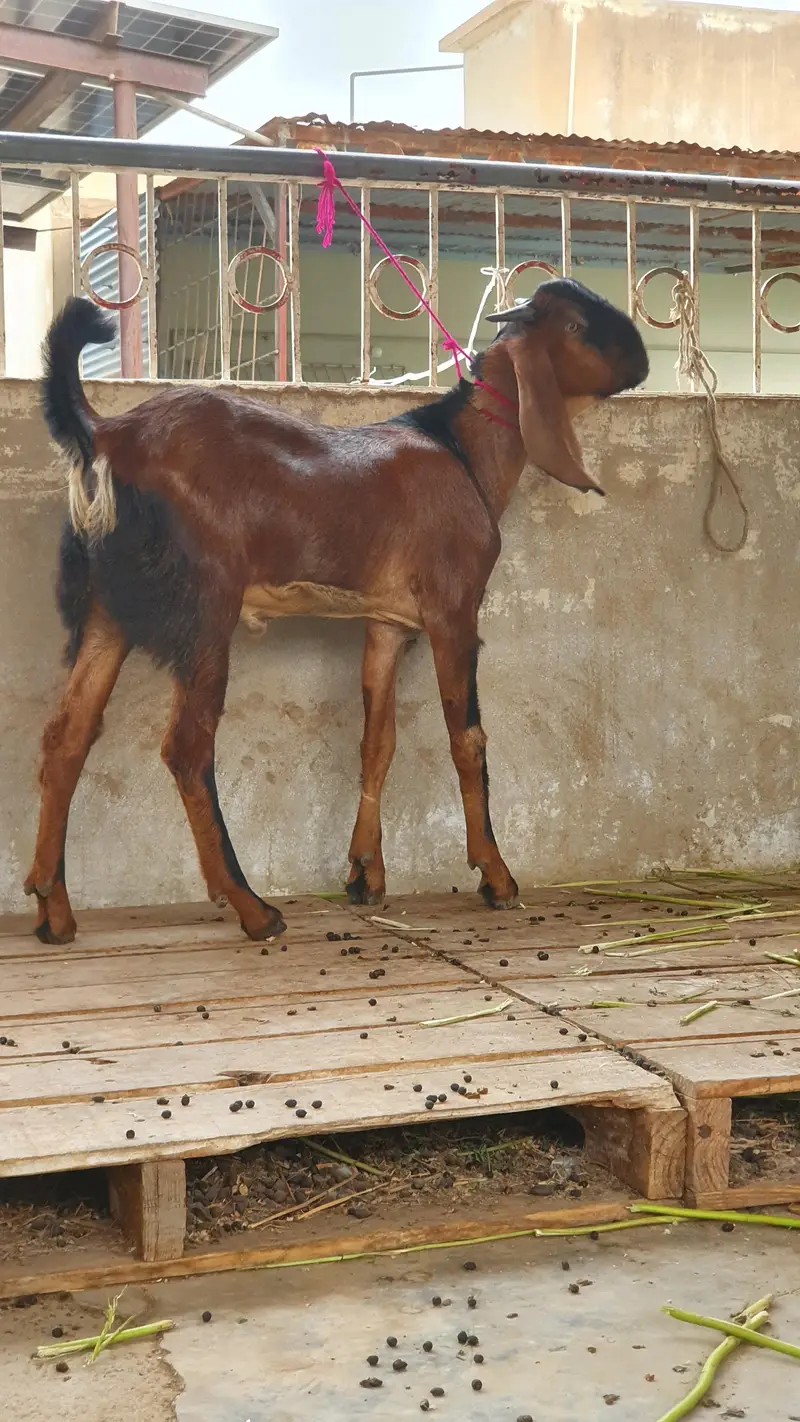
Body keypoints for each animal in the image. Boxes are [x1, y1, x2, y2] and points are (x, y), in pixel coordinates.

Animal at [27, 278, 648, 945]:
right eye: (578, 325)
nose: (641, 358)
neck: (461, 451)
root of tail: (105, 434)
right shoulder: (453, 611)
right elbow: (468, 738)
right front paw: (496, 878)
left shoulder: (388, 624)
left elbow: (377, 741)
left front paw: (365, 875)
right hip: (205, 610)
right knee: (187, 749)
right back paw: (253, 908)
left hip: (104, 613)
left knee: (67, 736)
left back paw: (53, 909)